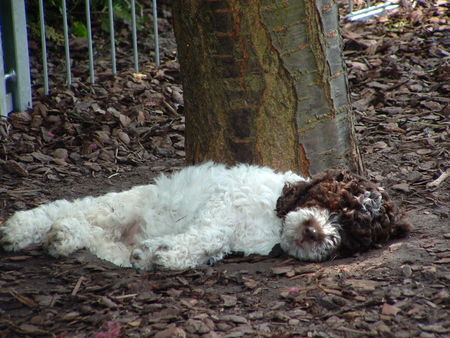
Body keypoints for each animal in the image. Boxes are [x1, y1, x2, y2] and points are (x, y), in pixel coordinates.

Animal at [0, 162, 412, 270]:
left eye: (349, 236)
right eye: (330, 203)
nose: (314, 231)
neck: (273, 223)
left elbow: (210, 243)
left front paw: (161, 254)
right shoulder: (225, 203)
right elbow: (209, 232)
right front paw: (166, 253)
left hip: (110, 241)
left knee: (90, 234)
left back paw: (64, 237)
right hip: (122, 205)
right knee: (70, 209)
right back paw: (22, 229)